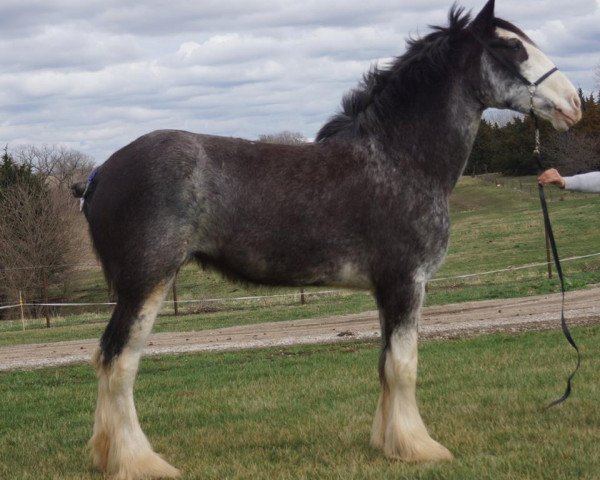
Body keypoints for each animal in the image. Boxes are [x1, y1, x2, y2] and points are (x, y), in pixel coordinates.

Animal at [71, 1, 580, 478]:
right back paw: (139, 462)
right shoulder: (406, 282)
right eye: (511, 46)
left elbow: (385, 364)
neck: (398, 159)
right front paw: (419, 447)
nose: (573, 101)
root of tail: (99, 175)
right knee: (118, 362)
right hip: (146, 284)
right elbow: (404, 365)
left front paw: (388, 443)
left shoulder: (387, 290)